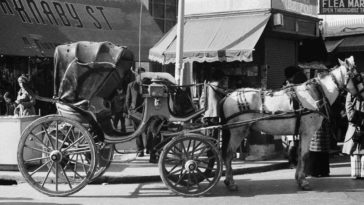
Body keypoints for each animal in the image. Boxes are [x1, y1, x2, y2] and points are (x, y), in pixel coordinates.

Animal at [219, 56, 364, 191]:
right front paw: (303, 181)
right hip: (238, 131)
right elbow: (305, 155)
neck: (315, 94)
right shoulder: (307, 132)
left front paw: (299, 178)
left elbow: (300, 154)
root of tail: (228, 96)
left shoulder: (301, 133)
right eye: (358, 77)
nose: (363, 96)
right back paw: (230, 182)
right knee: (229, 154)